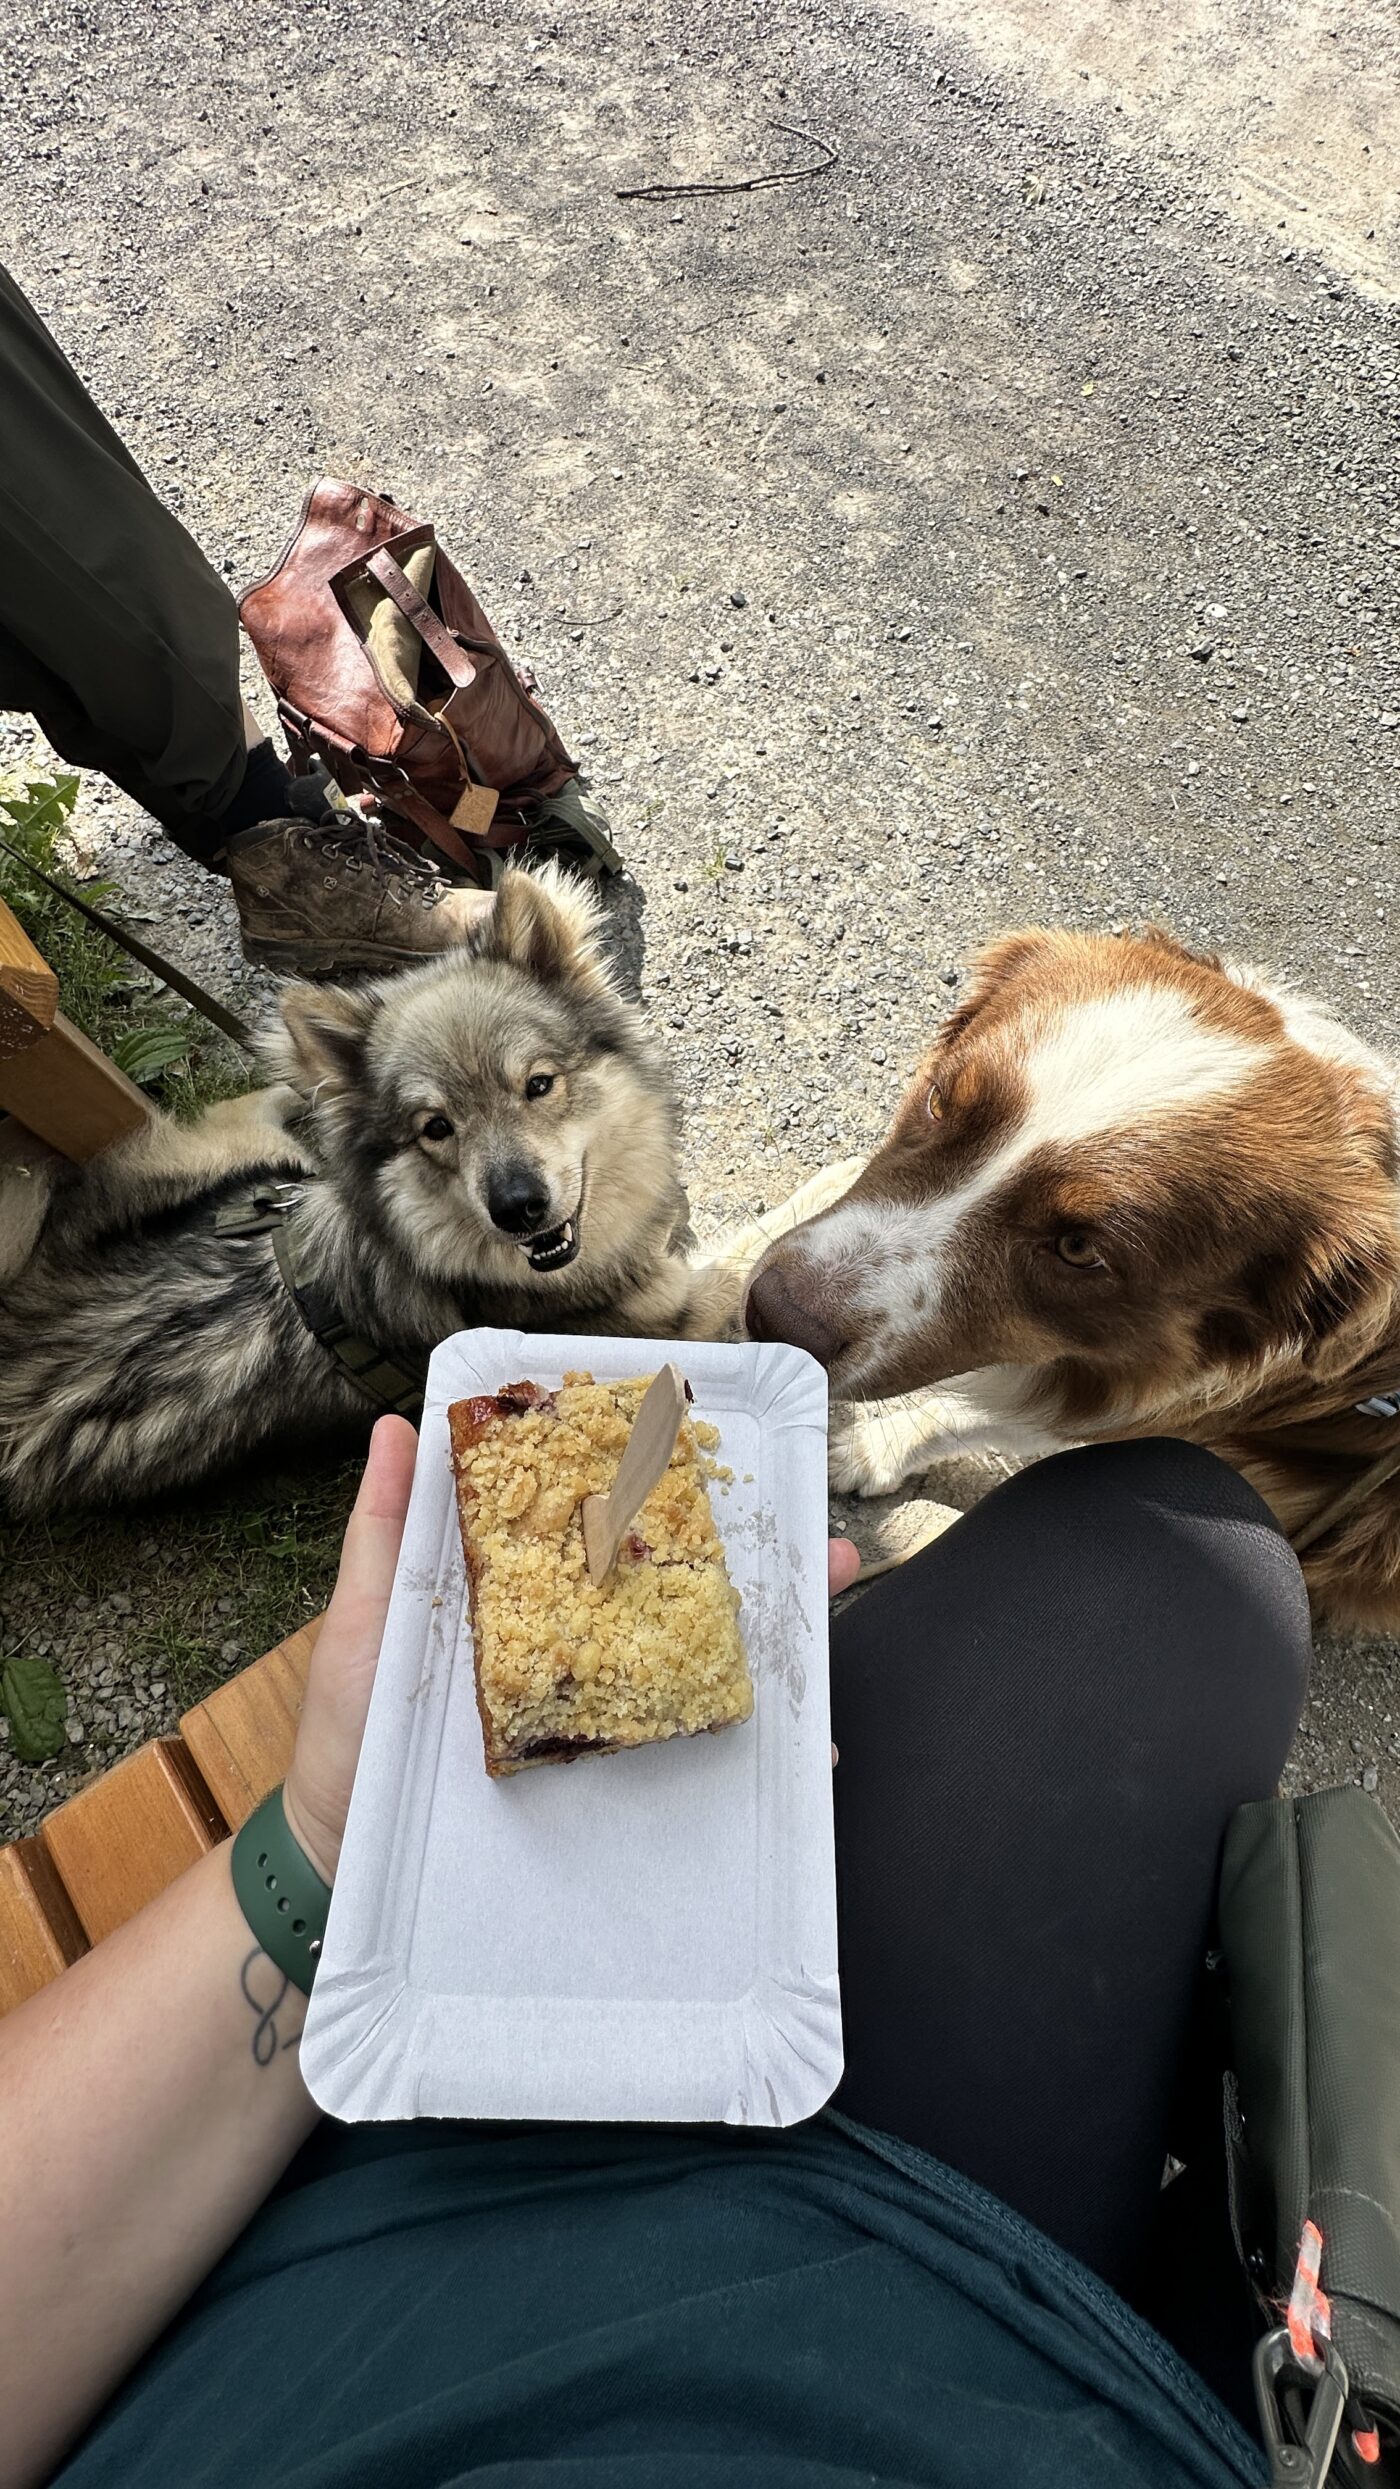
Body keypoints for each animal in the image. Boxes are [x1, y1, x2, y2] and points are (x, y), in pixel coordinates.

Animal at [747, 935, 1400, 1632]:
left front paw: (870, 1450)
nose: (774, 1316)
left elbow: (974, 1415)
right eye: (940, 1100)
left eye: (1079, 1249)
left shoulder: (1131, 1413)